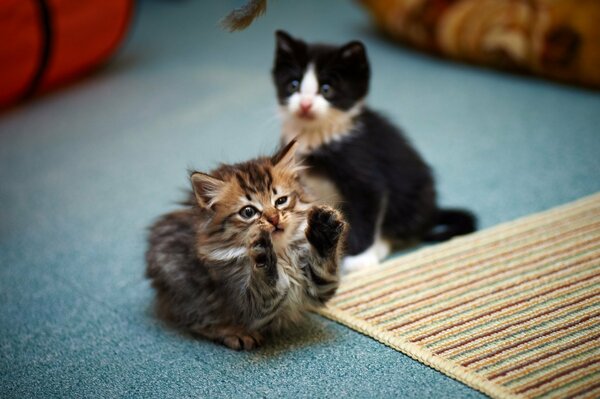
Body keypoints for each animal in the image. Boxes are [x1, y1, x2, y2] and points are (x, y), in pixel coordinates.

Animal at [144, 141, 346, 350]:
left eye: (281, 201)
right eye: (248, 212)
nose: (274, 219)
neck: (282, 254)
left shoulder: (318, 288)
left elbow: (324, 265)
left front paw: (324, 229)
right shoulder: (248, 306)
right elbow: (265, 284)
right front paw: (262, 253)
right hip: (187, 292)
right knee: (196, 321)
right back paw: (236, 333)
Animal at [270, 31, 474, 274]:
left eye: (327, 89)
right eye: (293, 85)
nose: (305, 105)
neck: (317, 135)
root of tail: (433, 210)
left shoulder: (363, 169)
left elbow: (365, 212)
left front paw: (361, 259)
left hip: (412, 199)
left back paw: (380, 247)